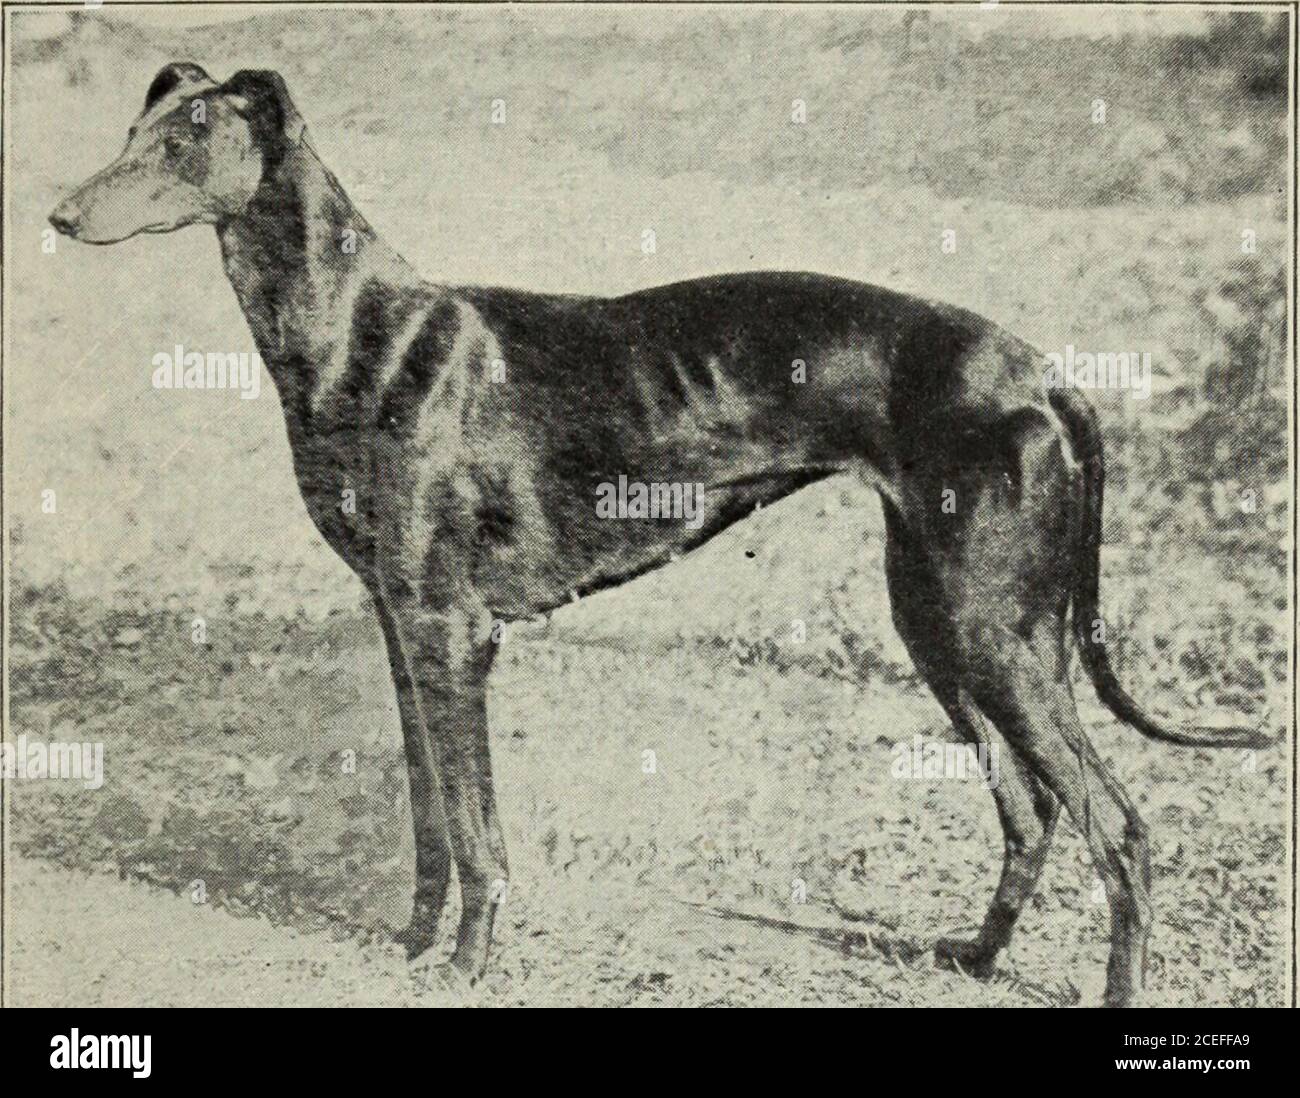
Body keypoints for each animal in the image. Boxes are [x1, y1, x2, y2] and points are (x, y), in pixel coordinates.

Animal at [53, 62, 1268, 1003]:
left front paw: (467, 966)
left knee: (1117, 826)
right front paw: (409, 944)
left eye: (187, 137)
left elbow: (480, 832)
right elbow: (432, 817)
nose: (61, 217)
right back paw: (972, 959)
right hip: (941, 622)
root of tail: (1048, 377)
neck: (358, 332)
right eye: (132, 130)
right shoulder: (399, 623)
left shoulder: (453, 631)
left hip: (996, 636)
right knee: (1030, 811)